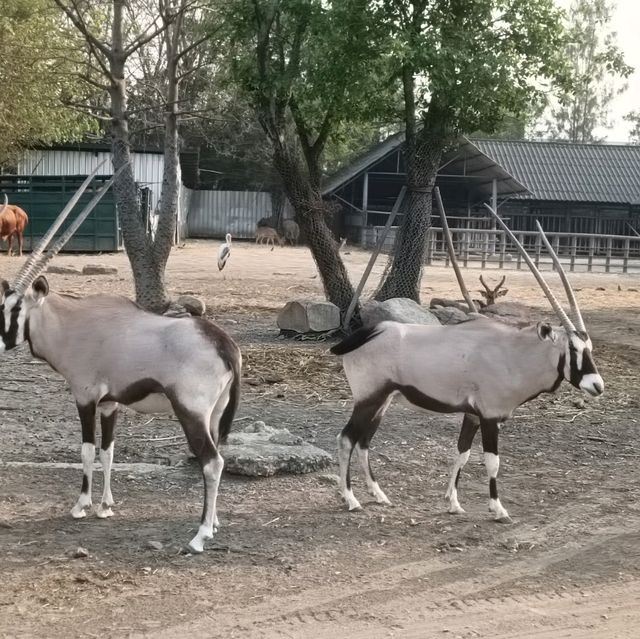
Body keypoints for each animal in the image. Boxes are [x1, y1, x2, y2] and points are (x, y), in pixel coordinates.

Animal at [1, 166, 241, 556]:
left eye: (14, 309)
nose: (0, 342)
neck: (72, 323)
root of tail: (224, 344)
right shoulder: (110, 404)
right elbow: (108, 452)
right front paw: (105, 506)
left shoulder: (84, 397)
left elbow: (86, 450)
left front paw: (81, 506)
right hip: (216, 414)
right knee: (218, 455)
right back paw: (215, 522)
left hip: (191, 411)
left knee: (211, 461)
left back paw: (200, 535)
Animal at [332, 208, 604, 524]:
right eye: (573, 348)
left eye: (590, 348)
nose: (597, 385)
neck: (513, 354)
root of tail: (368, 334)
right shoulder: (489, 417)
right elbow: (492, 461)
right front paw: (498, 509)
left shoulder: (472, 416)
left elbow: (461, 452)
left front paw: (453, 502)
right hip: (369, 398)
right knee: (346, 438)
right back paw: (350, 499)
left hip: (383, 401)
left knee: (363, 441)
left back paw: (379, 495)